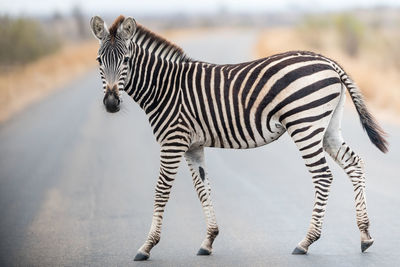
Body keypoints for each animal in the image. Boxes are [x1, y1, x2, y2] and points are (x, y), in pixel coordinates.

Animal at [90, 15, 388, 262]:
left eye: (126, 61)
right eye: (99, 62)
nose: (111, 104)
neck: (163, 88)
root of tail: (328, 61)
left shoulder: (173, 142)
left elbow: (161, 190)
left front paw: (147, 246)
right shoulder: (193, 146)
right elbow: (203, 189)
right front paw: (208, 241)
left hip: (304, 124)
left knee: (323, 176)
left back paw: (306, 241)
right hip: (327, 128)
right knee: (355, 164)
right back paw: (365, 236)